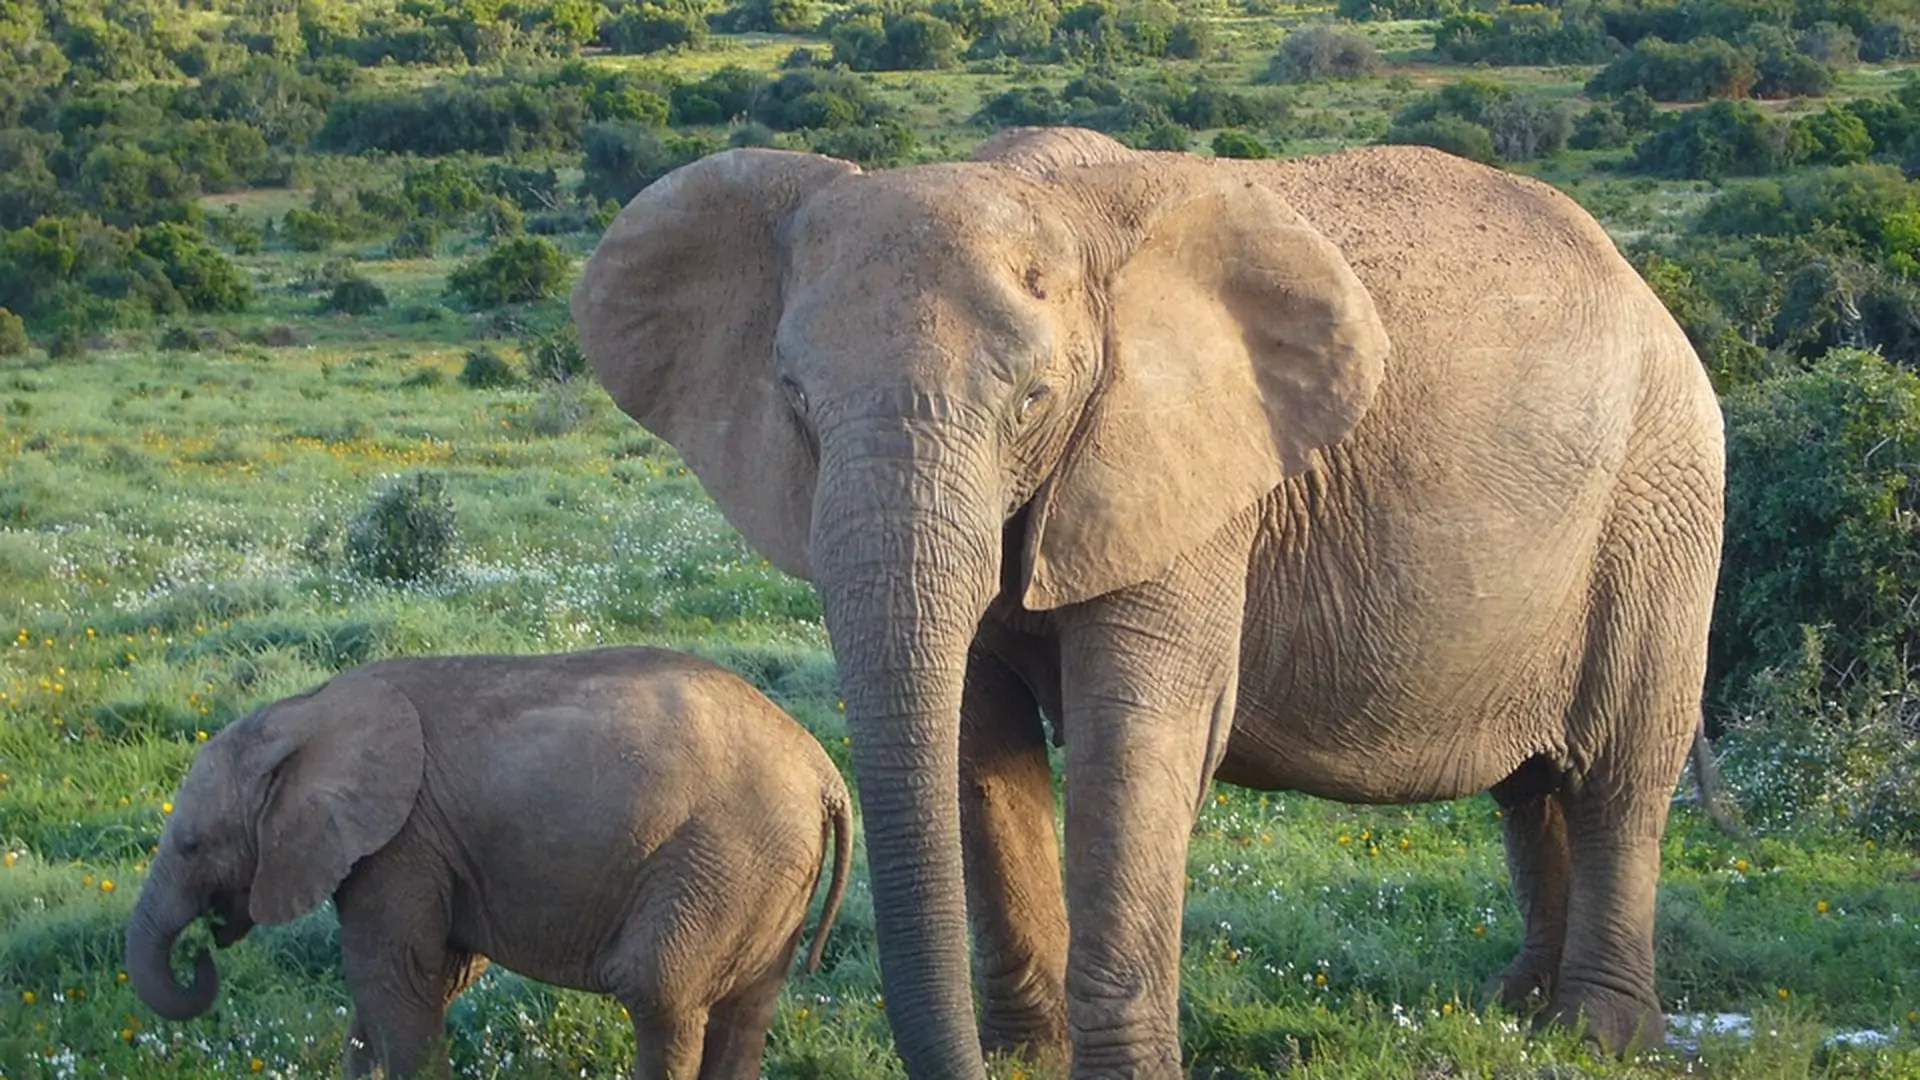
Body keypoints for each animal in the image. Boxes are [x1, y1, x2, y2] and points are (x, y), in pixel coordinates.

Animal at [131, 641, 852, 1068]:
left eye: (192, 846)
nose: (201, 952)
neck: (305, 712)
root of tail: (824, 771)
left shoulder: (401, 845)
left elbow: (394, 977)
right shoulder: (428, 850)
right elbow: (411, 982)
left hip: (722, 857)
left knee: (659, 994)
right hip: (767, 870)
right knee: (745, 1011)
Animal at [568, 127, 1728, 1076]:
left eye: (1034, 401)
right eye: (795, 400)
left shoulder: (1189, 475)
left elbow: (1140, 738)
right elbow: (979, 745)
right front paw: (1028, 1060)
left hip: (1663, 500)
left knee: (1621, 772)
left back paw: (1598, 1036)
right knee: (1532, 788)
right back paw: (1518, 1014)